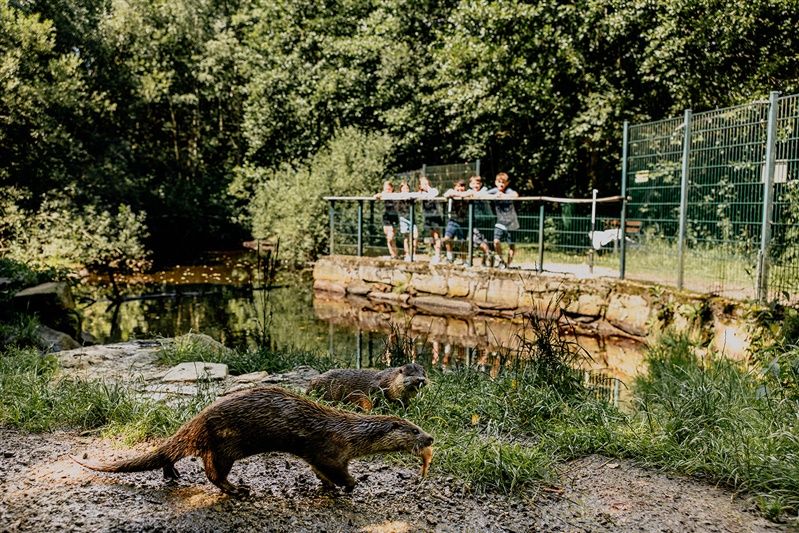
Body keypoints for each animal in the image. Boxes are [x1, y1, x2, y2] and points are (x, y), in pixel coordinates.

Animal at [71, 385, 433, 497]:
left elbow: (320, 472)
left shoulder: (322, 456)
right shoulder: (330, 450)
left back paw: (171, 474)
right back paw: (237, 489)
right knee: (212, 472)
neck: (350, 433)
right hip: (224, 445)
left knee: (171, 455)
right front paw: (350, 485)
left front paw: (330, 486)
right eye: (415, 430)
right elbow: (336, 471)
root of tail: (197, 421)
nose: (430, 437)